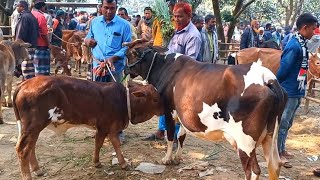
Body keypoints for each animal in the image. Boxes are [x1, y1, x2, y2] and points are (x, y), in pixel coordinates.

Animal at [13, 76, 162, 180]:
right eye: (155, 99)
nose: (164, 109)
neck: (125, 99)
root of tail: (24, 84)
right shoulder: (106, 127)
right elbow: (106, 144)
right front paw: (111, 163)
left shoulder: (108, 128)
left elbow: (107, 144)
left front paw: (110, 163)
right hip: (33, 126)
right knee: (23, 150)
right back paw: (28, 176)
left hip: (31, 129)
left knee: (30, 148)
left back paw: (38, 170)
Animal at [123, 39, 288, 180]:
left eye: (128, 55)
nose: (124, 70)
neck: (165, 66)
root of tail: (267, 78)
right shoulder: (183, 113)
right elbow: (181, 135)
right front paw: (177, 158)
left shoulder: (169, 111)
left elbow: (170, 136)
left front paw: (167, 159)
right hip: (270, 136)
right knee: (275, 164)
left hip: (245, 141)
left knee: (253, 170)